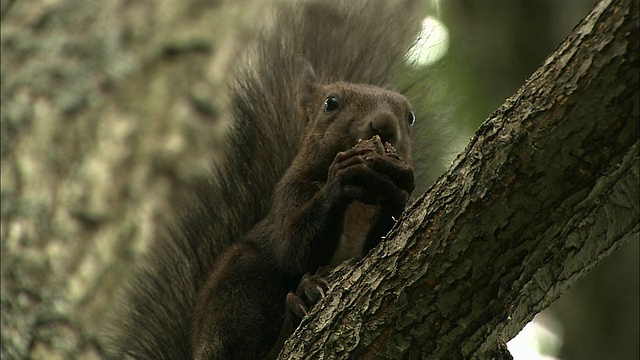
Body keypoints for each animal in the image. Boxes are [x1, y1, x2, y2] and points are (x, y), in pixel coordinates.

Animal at [109, 1, 430, 358]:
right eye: (330, 103)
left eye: (410, 117)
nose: (384, 124)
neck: (360, 205)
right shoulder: (288, 195)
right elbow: (294, 248)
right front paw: (341, 179)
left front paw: (398, 185)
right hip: (239, 285)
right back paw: (295, 312)